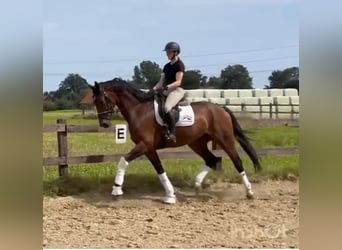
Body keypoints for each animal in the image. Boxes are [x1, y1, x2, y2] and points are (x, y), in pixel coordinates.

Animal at [89, 78, 262, 203]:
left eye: (102, 100)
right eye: (95, 102)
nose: (104, 124)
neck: (139, 110)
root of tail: (220, 108)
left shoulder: (144, 145)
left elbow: (123, 161)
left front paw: (116, 190)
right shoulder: (149, 148)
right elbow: (160, 170)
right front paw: (170, 195)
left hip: (225, 140)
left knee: (237, 161)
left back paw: (250, 192)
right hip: (197, 143)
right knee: (212, 159)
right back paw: (197, 186)